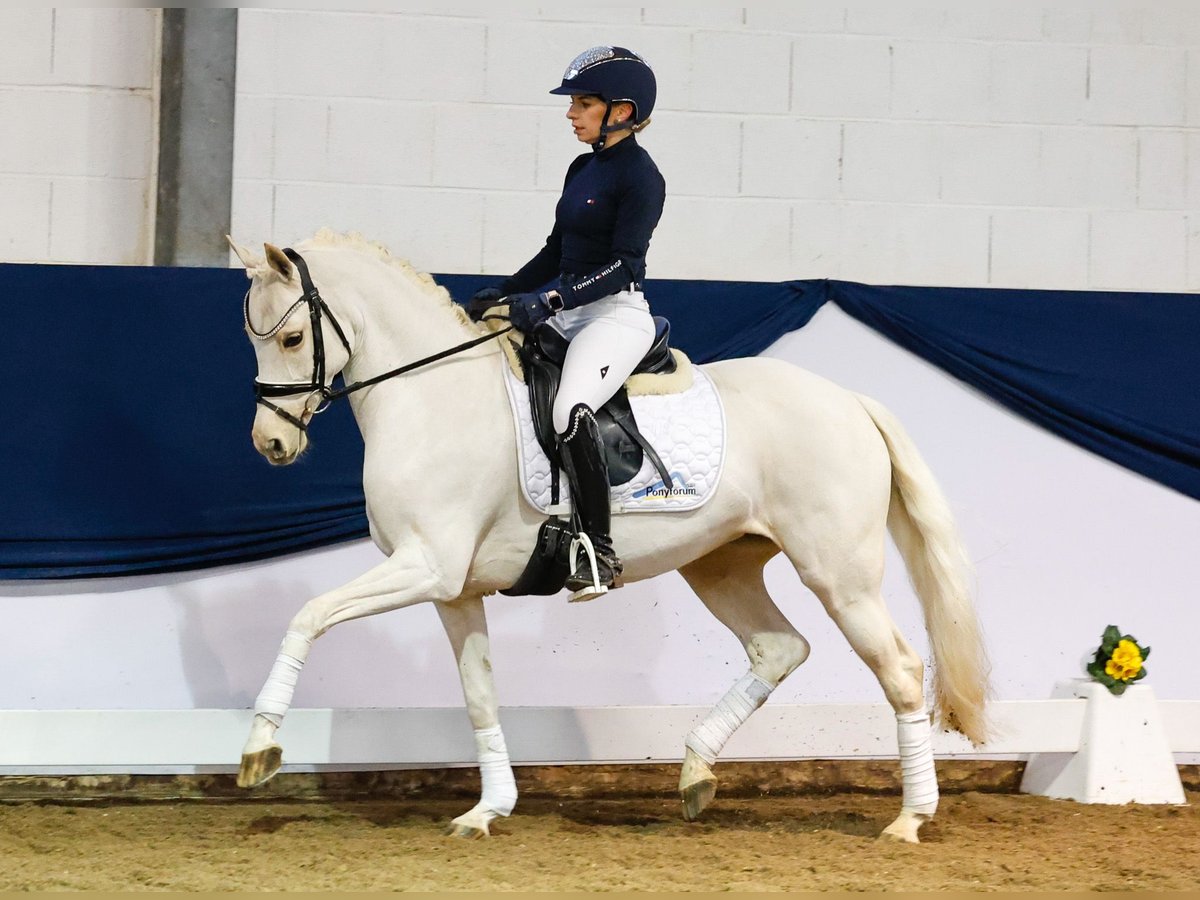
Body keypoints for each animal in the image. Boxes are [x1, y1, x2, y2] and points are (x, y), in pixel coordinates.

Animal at [229, 230, 988, 844]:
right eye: (254, 339)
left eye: (292, 339)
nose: (270, 445)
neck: (431, 396)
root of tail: (849, 400)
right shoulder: (452, 589)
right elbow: (479, 692)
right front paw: (487, 809)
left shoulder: (426, 567)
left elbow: (308, 616)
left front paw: (260, 748)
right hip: (721, 566)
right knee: (780, 647)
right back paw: (694, 773)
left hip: (840, 575)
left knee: (899, 669)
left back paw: (909, 819)